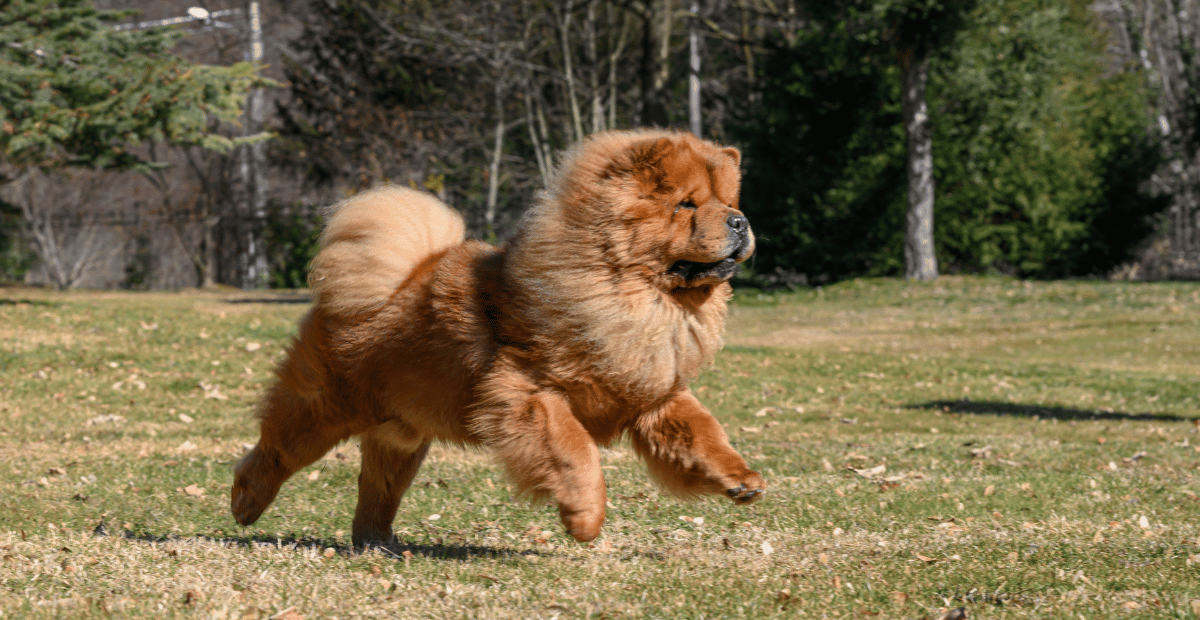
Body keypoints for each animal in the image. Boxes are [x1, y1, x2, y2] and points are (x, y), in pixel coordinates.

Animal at [229, 128, 763, 544]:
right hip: (325, 408)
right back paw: (245, 504)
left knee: (378, 487)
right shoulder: (529, 393)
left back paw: (378, 543)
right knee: (274, 450)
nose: (740, 221)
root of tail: (387, 281)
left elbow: (701, 433)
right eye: (686, 205)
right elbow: (576, 453)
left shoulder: (652, 392)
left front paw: (740, 479)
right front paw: (586, 520)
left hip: (402, 433)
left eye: (728, 203)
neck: (640, 298)